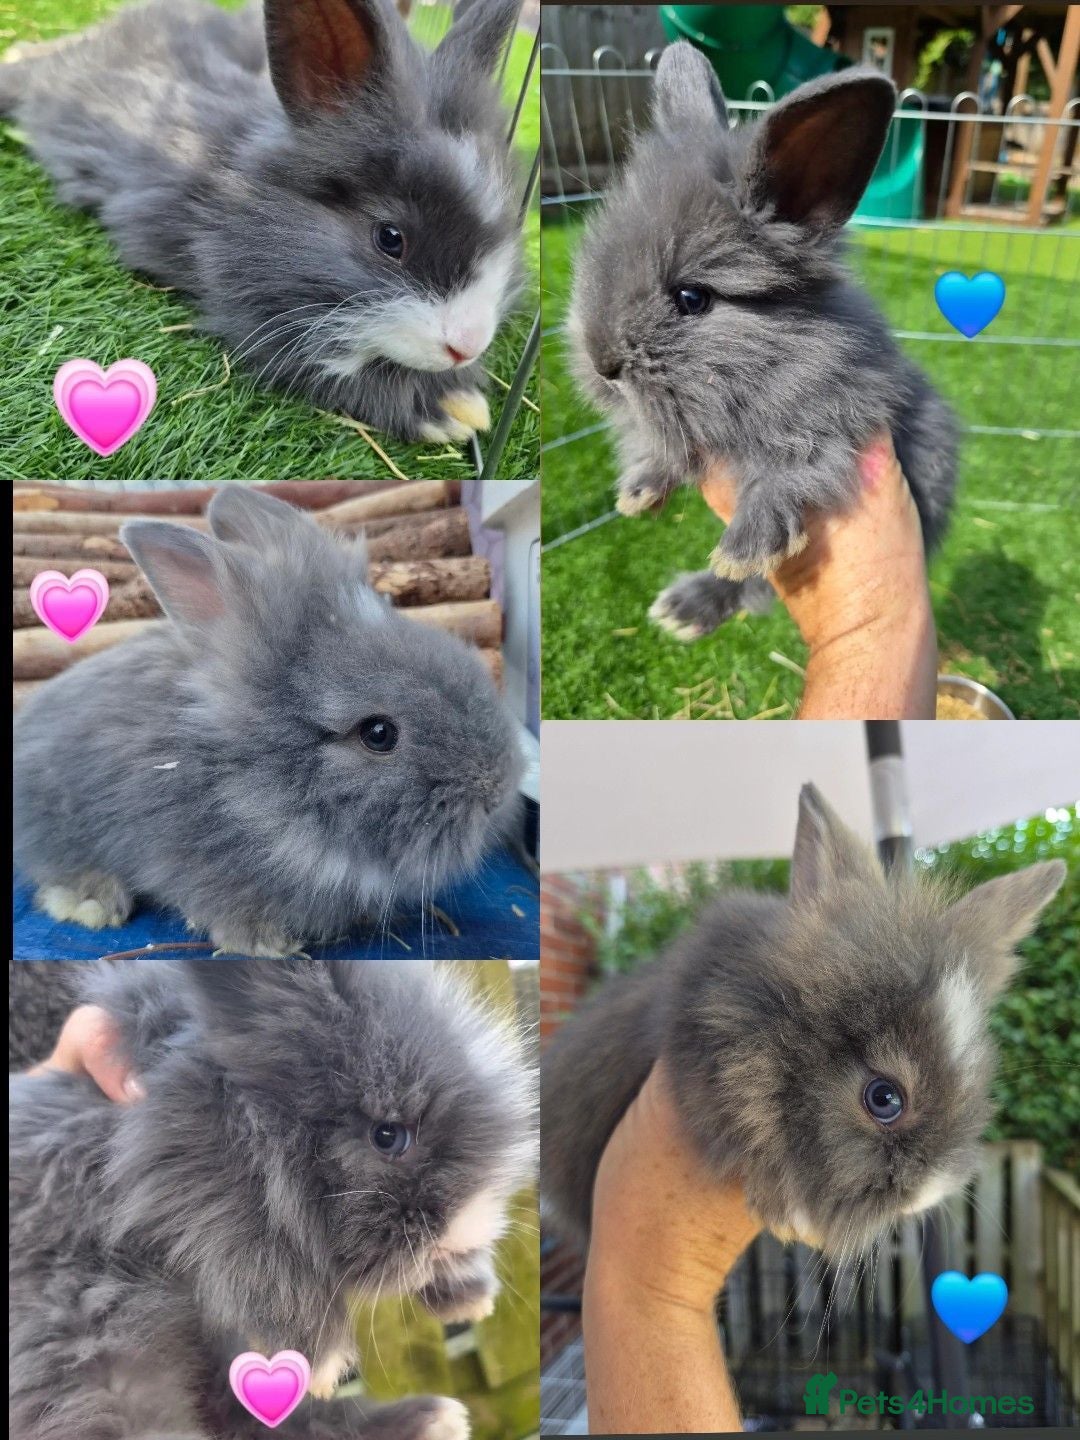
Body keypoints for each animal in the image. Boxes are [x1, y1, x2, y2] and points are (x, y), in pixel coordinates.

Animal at [0, 0, 526, 444]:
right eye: (390, 238)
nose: (468, 345)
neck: (246, 194)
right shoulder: (251, 312)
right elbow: (328, 368)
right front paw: (452, 407)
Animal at [9, 957, 537, 1440]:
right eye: (387, 1136)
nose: (465, 1229)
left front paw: (470, 1299)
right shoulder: (194, 1176)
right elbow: (265, 1263)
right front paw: (323, 1363)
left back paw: (434, 1419)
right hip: (84, 1352)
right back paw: (433, 1418)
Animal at [569, 45, 959, 641]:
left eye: (692, 298)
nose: (602, 363)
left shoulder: (841, 422)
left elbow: (791, 477)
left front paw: (743, 549)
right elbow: (665, 450)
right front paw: (638, 491)